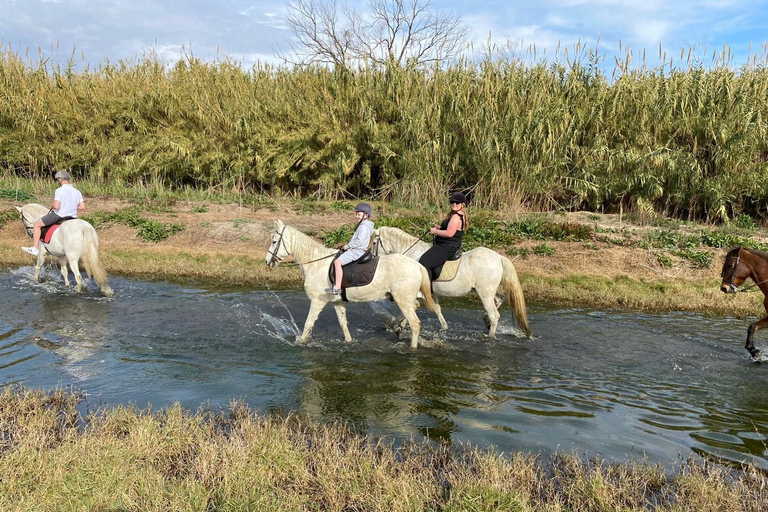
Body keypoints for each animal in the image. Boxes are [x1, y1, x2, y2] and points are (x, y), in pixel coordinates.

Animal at [266, 220, 436, 348]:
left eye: (274, 241)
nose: (267, 261)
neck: (315, 264)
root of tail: (417, 265)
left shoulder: (317, 301)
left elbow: (308, 324)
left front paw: (300, 342)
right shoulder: (337, 302)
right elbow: (343, 324)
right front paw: (349, 342)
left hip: (402, 300)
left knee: (415, 323)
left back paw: (411, 347)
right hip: (402, 299)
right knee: (415, 307)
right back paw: (397, 326)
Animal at [370, 226, 528, 338]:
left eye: (374, 243)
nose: (372, 259)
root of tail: (499, 257)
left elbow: (412, 307)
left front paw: (397, 325)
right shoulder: (430, 293)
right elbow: (436, 309)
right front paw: (444, 327)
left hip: (485, 293)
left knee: (495, 315)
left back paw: (490, 336)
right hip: (488, 291)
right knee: (500, 298)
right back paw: (486, 321)